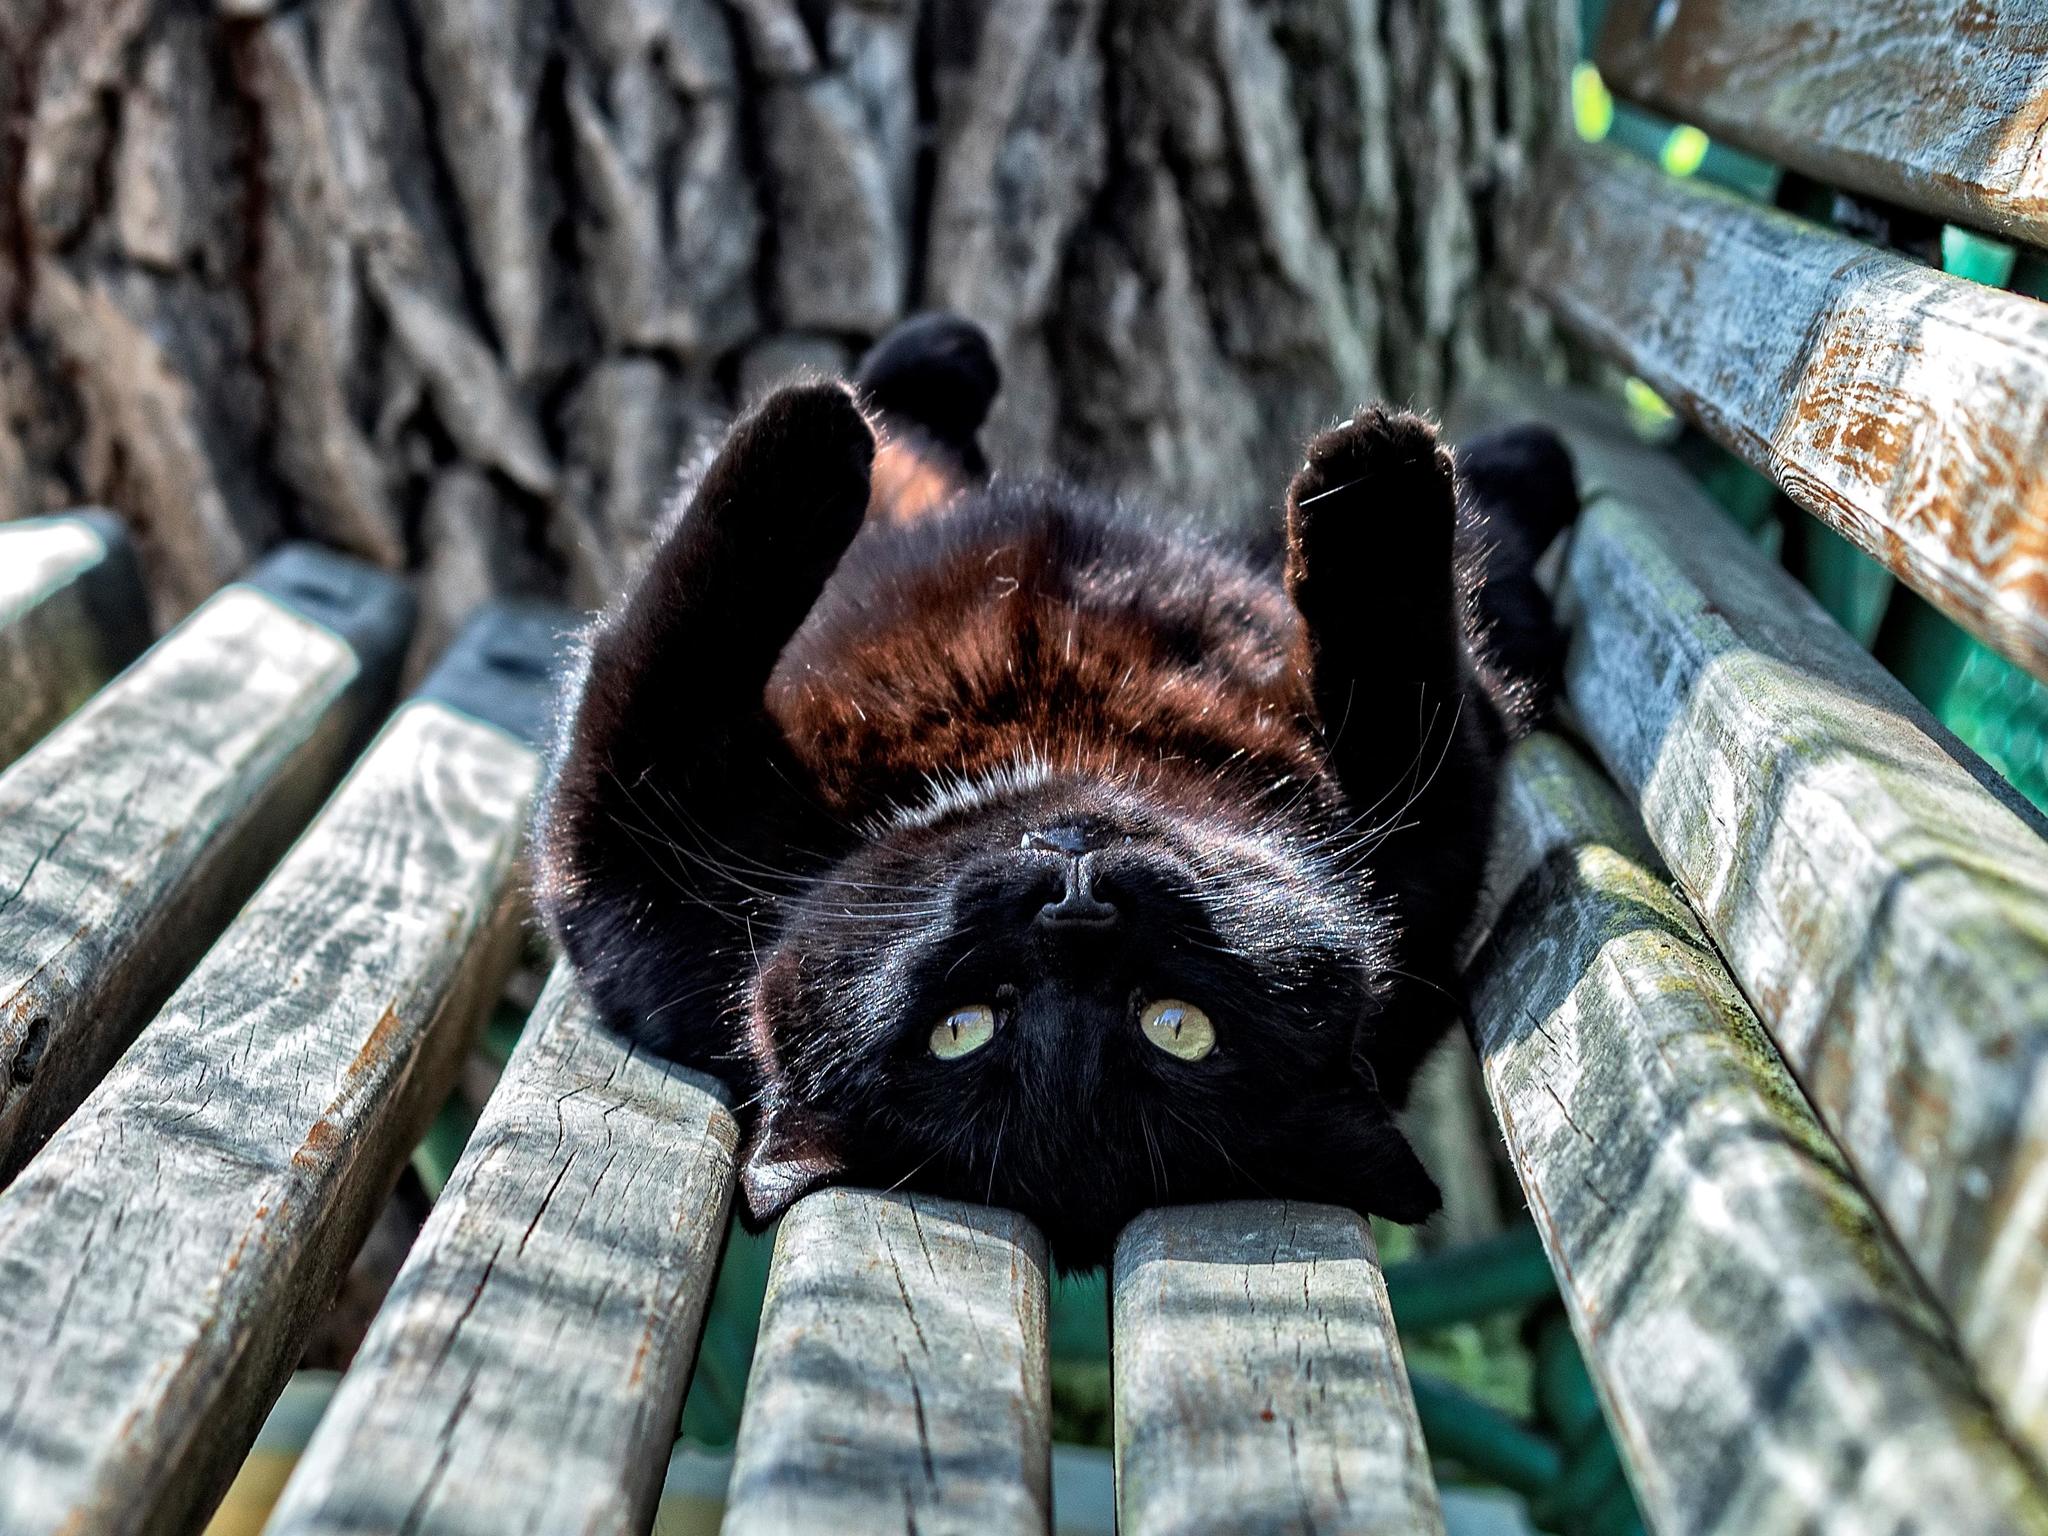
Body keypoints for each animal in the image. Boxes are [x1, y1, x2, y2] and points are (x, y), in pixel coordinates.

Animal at [536, 315, 1572, 1277]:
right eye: (961, 1031)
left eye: (1177, 1028)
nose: (1075, 912)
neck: (1058, 738)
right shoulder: (630, 883)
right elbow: (662, 651)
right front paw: (811, 432)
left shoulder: (1426, 866)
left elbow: (1417, 690)